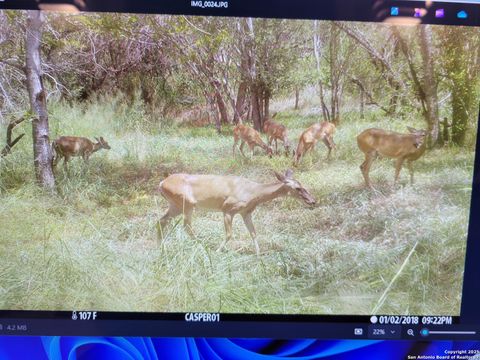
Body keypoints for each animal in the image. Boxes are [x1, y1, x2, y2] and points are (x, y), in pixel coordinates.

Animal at [157, 169, 316, 256]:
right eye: (297, 188)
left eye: (302, 184)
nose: (313, 201)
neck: (253, 192)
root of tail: (162, 183)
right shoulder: (228, 209)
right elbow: (229, 234)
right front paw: (218, 251)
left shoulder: (246, 212)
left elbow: (253, 233)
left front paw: (259, 255)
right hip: (187, 203)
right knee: (186, 226)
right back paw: (203, 246)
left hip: (175, 205)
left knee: (162, 221)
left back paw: (161, 246)